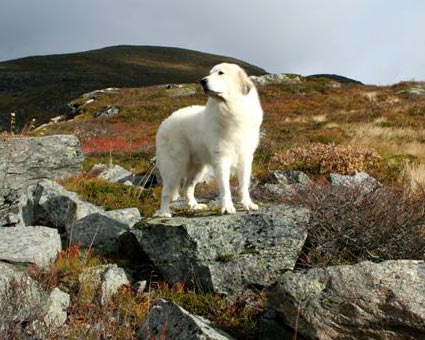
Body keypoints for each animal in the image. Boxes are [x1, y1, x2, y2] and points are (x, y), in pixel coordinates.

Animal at [154, 63, 264, 218]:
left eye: (220, 73)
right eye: (210, 73)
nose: (202, 81)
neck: (231, 109)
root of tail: (166, 120)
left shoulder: (245, 157)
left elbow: (243, 185)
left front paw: (248, 204)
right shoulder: (221, 159)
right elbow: (225, 188)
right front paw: (227, 207)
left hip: (198, 168)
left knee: (188, 187)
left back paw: (194, 205)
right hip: (175, 164)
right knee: (166, 191)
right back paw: (165, 213)